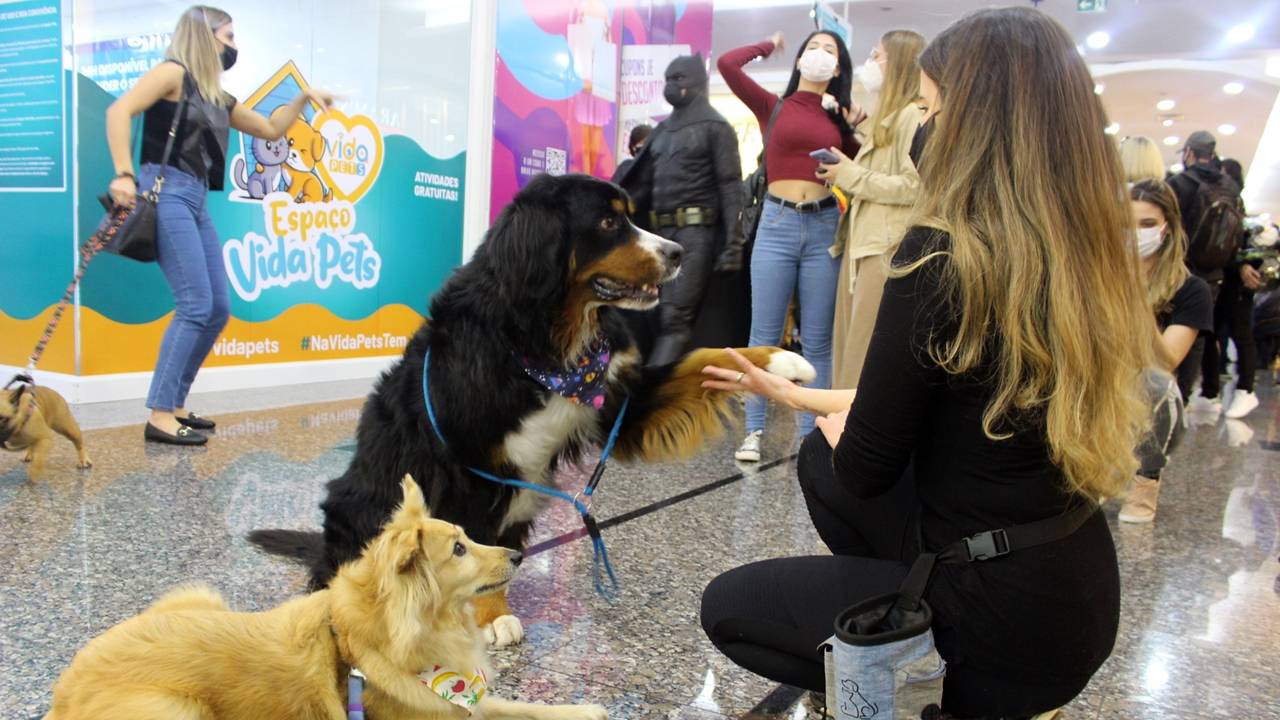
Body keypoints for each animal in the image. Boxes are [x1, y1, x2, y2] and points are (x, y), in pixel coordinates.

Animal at [45, 476, 609, 717]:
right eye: (458, 549)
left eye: (466, 536)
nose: (517, 556)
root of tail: (62, 691)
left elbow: (516, 705)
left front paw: (584, 711)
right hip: (175, 710)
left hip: (201, 597)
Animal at [248, 175, 808, 645]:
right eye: (609, 223)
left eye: (630, 216)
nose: (677, 252)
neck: (547, 341)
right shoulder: (469, 467)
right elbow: (473, 544)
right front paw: (491, 617)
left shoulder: (621, 402)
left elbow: (703, 357)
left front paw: (778, 362)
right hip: (366, 507)